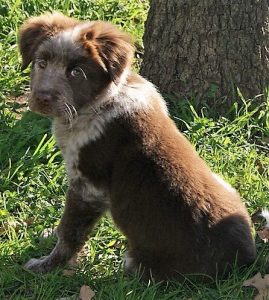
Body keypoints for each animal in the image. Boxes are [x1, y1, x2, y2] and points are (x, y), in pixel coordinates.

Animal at [18, 12, 255, 282]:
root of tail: (244, 260)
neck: (100, 101)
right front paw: (50, 237)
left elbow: (71, 230)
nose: (42, 98)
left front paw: (46, 266)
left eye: (76, 72)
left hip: (137, 263)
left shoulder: (88, 186)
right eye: (41, 63)